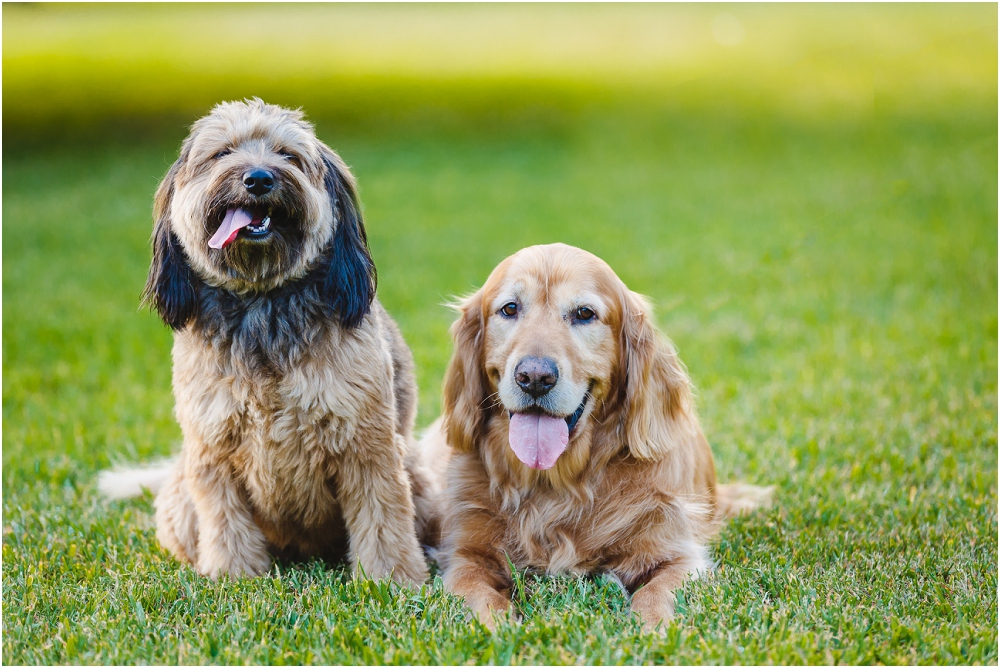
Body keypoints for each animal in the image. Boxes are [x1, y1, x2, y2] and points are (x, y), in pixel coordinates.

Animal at [98, 100, 438, 584]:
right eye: (222, 153)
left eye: (287, 155)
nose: (258, 178)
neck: (263, 304)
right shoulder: (212, 446)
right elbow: (225, 521)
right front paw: (233, 575)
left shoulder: (366, 444)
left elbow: (383, 519)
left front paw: (390, 580)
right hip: (180, 498)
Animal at [426, 244, 768, 632]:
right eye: (509, 309)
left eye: (584, 314)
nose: (534, 377)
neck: (557, 484)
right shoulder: (464, 558)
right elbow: (479, 595)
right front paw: (498, 627)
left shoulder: (678, 554)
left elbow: (656, 592)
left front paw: (652, 629)